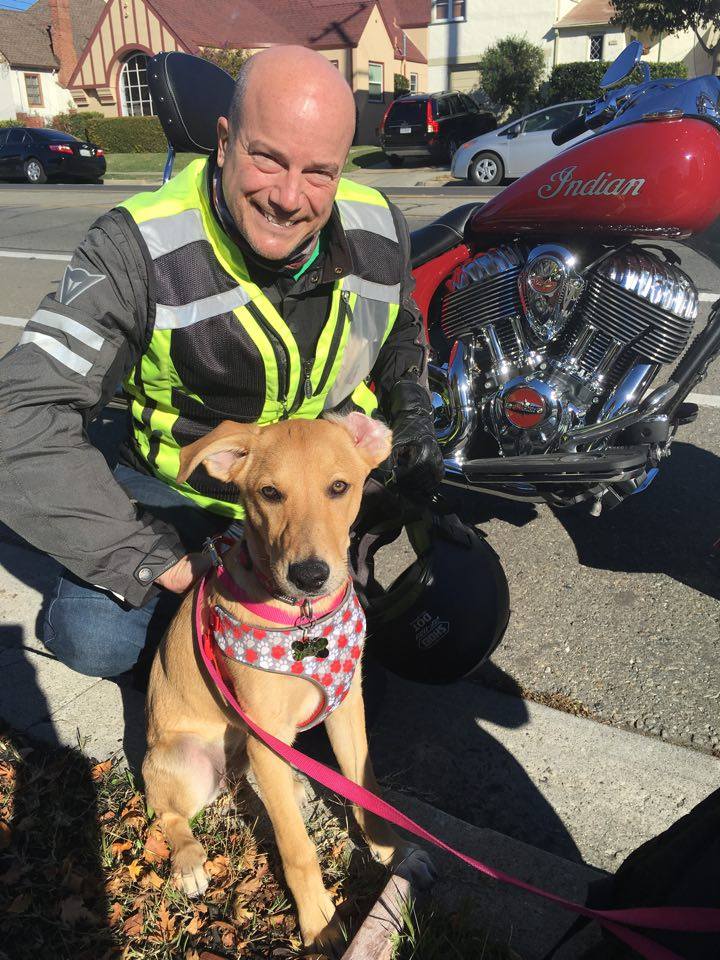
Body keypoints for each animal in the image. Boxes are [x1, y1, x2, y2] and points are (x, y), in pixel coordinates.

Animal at [143, 412, 427, 952]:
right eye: (269, 493)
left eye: (339, 487)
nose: (310, 575)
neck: (304, 619)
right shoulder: (266, 733)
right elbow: (297, 849)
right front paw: (319, 922)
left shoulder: (346, 709)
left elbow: (367, 788)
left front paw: (391, 849)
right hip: (183, 758)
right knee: (167, 814)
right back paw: (189, 862)